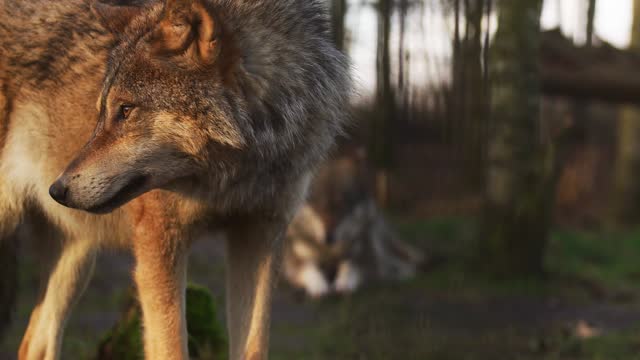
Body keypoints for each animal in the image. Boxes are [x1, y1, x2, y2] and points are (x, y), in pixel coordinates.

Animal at [0, 0, 350, 360]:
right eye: (103, 111)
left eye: (125, 110)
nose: (57, 189)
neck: (234, 178)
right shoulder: (160, 243)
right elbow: (171, 347)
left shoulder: (261, 236)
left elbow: (253, 347)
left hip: (78, 257)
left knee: (34, 342)